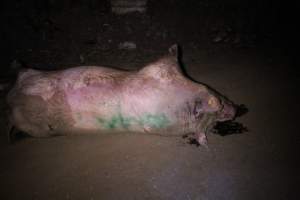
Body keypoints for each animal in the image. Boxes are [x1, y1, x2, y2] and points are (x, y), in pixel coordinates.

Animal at [5, 45, 237, 145]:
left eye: (212, 120)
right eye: (217, 106)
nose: (236, 109)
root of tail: (11, 99)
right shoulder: (156, 74)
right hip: (32, 119)